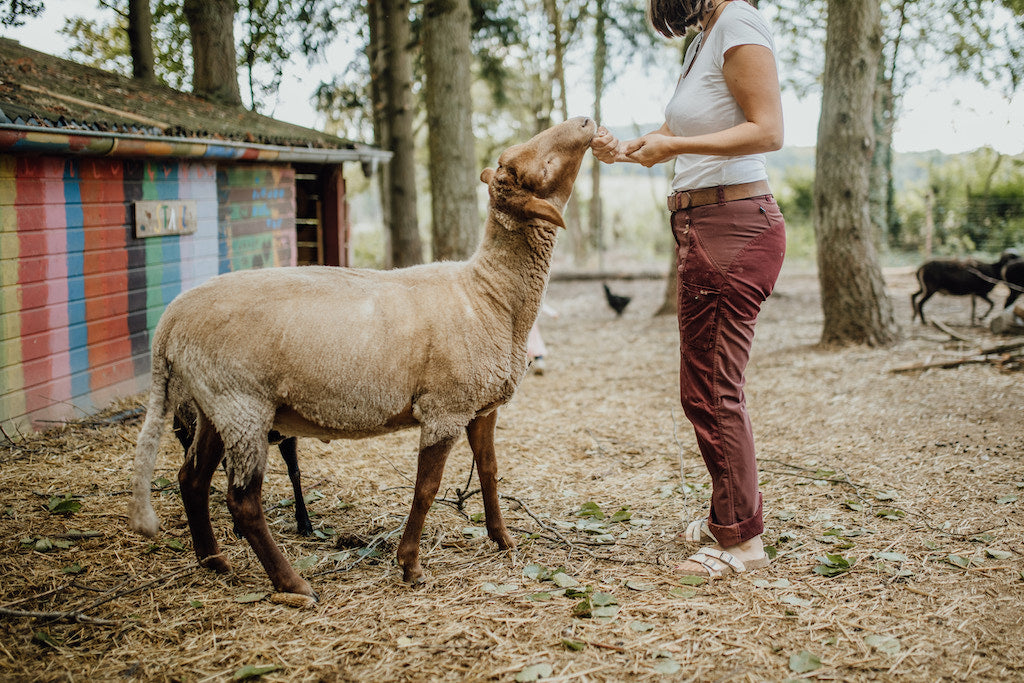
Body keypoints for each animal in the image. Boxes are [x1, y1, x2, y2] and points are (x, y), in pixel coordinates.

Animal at [128, 117, 598, 598]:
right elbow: (426, 488)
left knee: (191, 479)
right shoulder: (444, 409)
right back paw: (293, 584)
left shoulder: (481, 406)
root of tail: (171, 320)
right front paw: (410, 564)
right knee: (241, 501)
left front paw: (502, 539)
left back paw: (213, 561)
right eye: (538, 164)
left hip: (214, 405)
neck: (490, 295)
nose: (585, 121)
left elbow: (488, 470)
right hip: (242, 404)